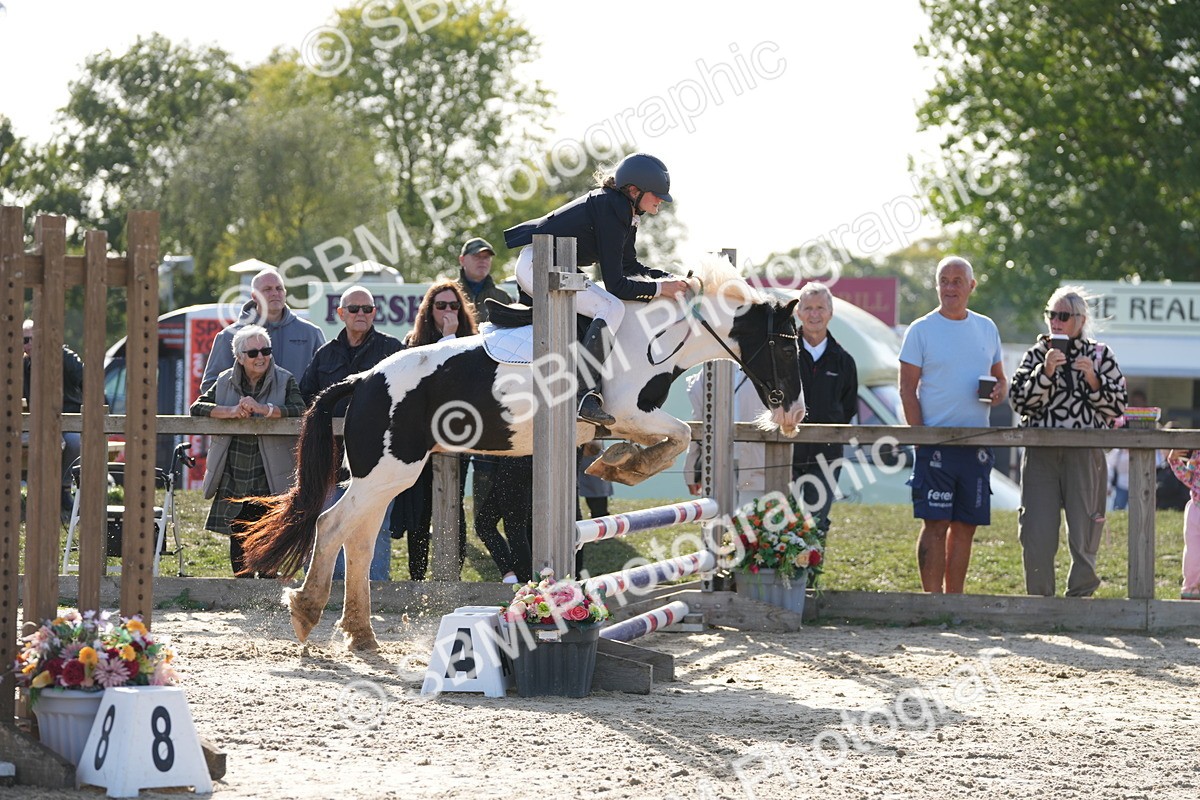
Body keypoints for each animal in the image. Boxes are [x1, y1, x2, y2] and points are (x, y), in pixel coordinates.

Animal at [239, 253, 805, 650]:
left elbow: (671, 440)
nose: (795, 415)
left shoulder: (629, 421)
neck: (660, 333)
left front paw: (620, 462)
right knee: (332, 526)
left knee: (356, 540)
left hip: (388, 476)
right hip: (386, 472)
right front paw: (627, 465)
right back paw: (307, 612)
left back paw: (360, 634)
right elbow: (681, 435)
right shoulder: (628, 410)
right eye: (785, 344)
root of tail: (363, 379)